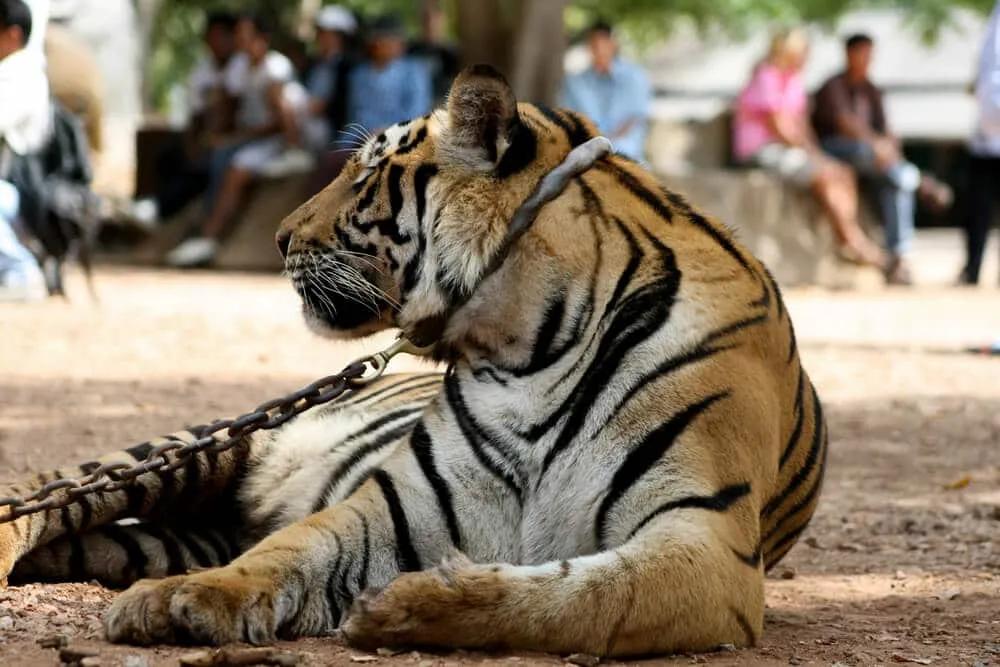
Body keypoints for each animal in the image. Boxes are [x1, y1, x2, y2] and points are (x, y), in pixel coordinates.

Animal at [0, 65, 826, 657]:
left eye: (364, 176)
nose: (278, 235)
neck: (529, 346)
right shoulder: (402, 504)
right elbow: (287, 548)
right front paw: (181, 599)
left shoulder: (705, 539)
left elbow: (585, 600)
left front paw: (409, 605)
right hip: (199, 446)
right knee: (46, 489)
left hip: (169, 523)